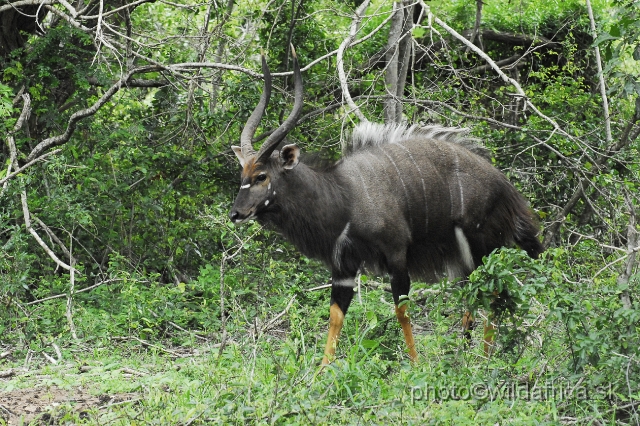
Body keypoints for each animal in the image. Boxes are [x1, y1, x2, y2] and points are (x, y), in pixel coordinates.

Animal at [228, 49, 544, 362]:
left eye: (261, 176)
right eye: (242, 174)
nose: (236, 214)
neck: (344, 196)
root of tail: (507, 189)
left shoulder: (396, 254)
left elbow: (401, 309)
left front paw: (416, 365)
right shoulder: (343, 267)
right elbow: (335, 315)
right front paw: (321, 371)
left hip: (484, 245)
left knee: (490, 293)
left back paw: (484, 360)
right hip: (467, 258)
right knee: (476, 296)